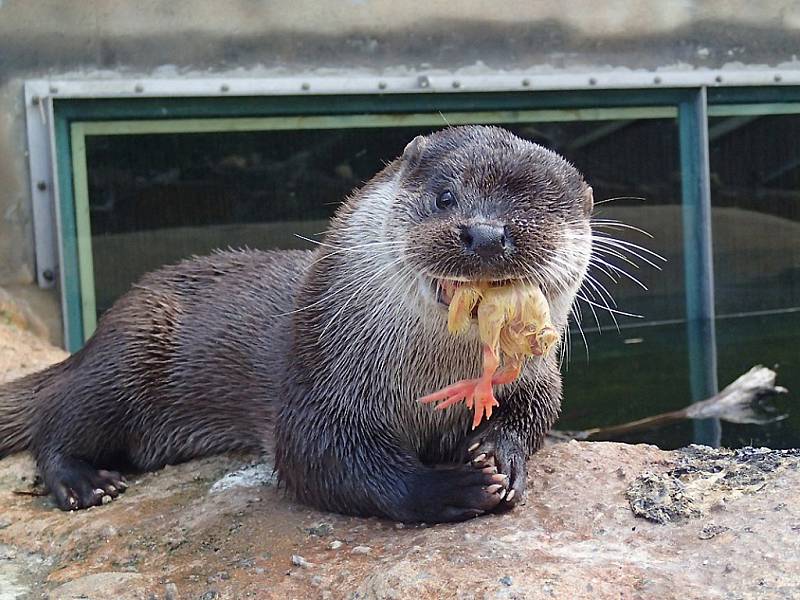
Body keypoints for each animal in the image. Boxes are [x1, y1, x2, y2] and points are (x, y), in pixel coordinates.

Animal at [0, 125, 592, 520]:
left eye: (536, 214)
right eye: (445, 196)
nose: (486, 233)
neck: (428, 380)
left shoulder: (539, 377)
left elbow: (536, 414)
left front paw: (499, 455)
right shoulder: (318, 384)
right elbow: (319, 459)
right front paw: (453, 488)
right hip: (130, 350)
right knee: (59, 419)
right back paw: (83, 482)